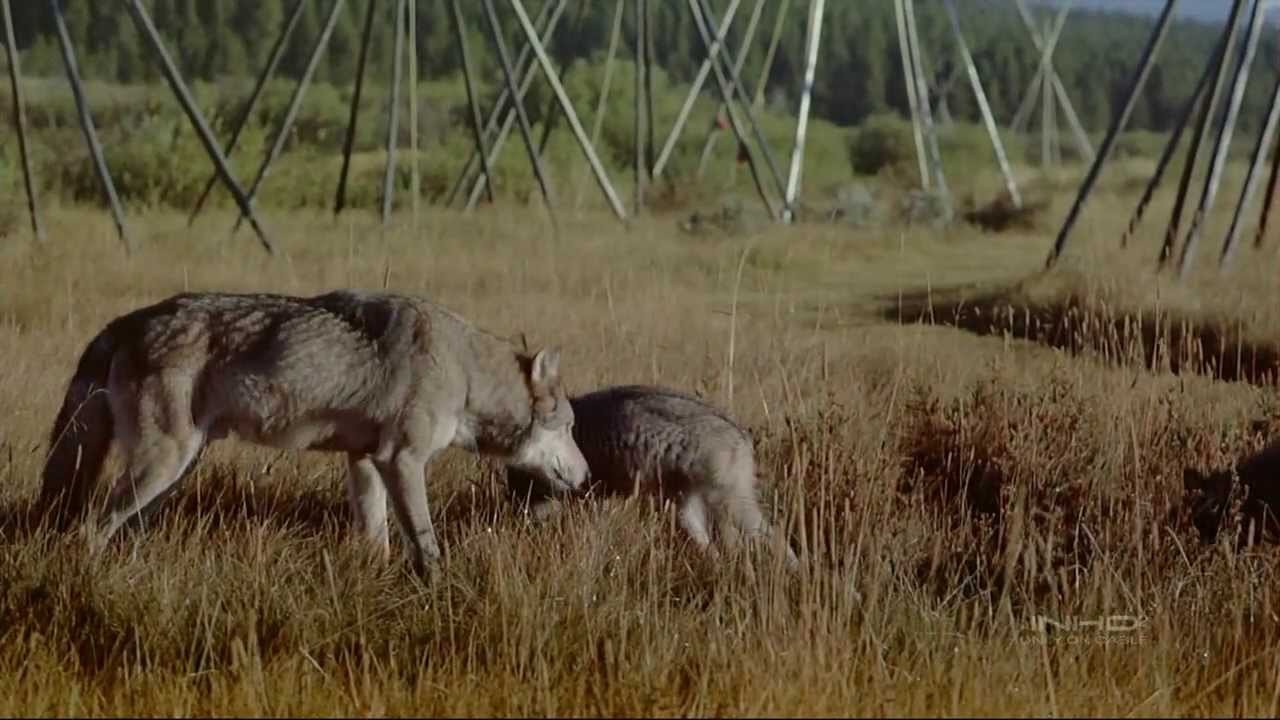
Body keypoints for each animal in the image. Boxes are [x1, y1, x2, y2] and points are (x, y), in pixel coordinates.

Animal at [38, 289, 590, 578]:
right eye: (569, 427)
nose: (586, 478)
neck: (464, 369)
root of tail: (124, 322)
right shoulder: (401, 460)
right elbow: (426, 542)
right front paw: (439, 588)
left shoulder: (365, 461)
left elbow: (377, 537)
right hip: (161, 466)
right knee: (91, 528)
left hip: (171, 474)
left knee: (119, 527)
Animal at [502, 384, 799, 568]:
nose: (517, 508)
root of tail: (739, 434)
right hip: (687, 504)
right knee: (708, 542)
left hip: (730, 501)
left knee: (774, 535)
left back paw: (795, 567)